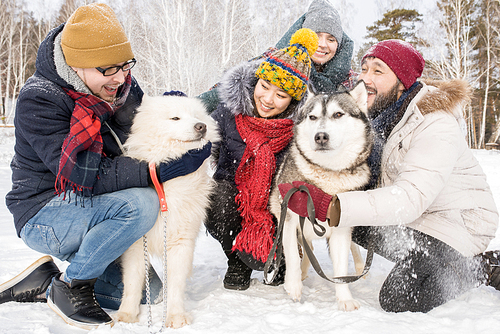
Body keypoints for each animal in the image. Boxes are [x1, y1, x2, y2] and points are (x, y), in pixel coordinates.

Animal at [116, 94, 220, 328]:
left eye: (196, 116)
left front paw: (175, 317)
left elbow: (175, 283)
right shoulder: (136, 244)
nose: (201, 126)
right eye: (175, 118)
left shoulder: (181, 241)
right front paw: (126, 315)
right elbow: (133, 281)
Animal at [270, 82, 372, 312]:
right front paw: (293, 285)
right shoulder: (289, 217)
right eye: (313, 117)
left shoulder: (341, 226)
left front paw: (345, 298)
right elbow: (292, 254)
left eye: (338, 114)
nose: (321, 136)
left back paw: (359, 267)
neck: (327, 174)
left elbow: (341, 268)